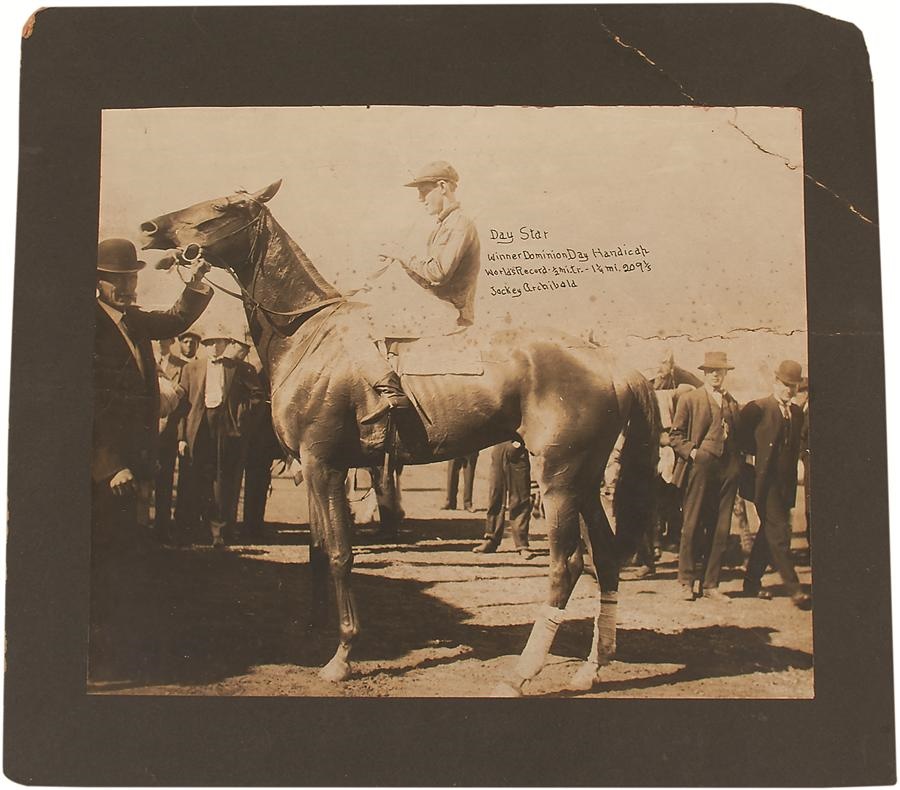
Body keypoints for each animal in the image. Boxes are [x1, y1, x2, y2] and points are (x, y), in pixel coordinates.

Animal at [141, 183, 660, 696]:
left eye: (224, 206)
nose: (149, 228)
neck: (310, 334)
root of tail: (613, 364)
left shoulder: (323, 463)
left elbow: (339, 553)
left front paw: (342, 654)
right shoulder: (312, 467)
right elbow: (315, 549)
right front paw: (313, 630)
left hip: (557, 481)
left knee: (566, 566)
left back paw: (520, 674)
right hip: (586, 481)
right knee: (605, 559)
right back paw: (591, 668)